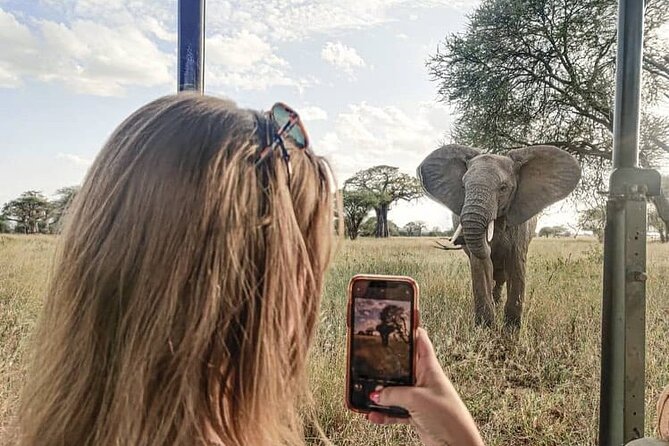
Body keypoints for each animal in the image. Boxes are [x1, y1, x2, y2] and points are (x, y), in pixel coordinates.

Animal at [417, 144, 581, 328]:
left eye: (503, 188)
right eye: (463, 187)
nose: (459, 239)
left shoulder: (519, 224)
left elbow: (516, 264)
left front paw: (511, 329)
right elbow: (481, 265)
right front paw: (485, 328)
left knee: (501, 276)